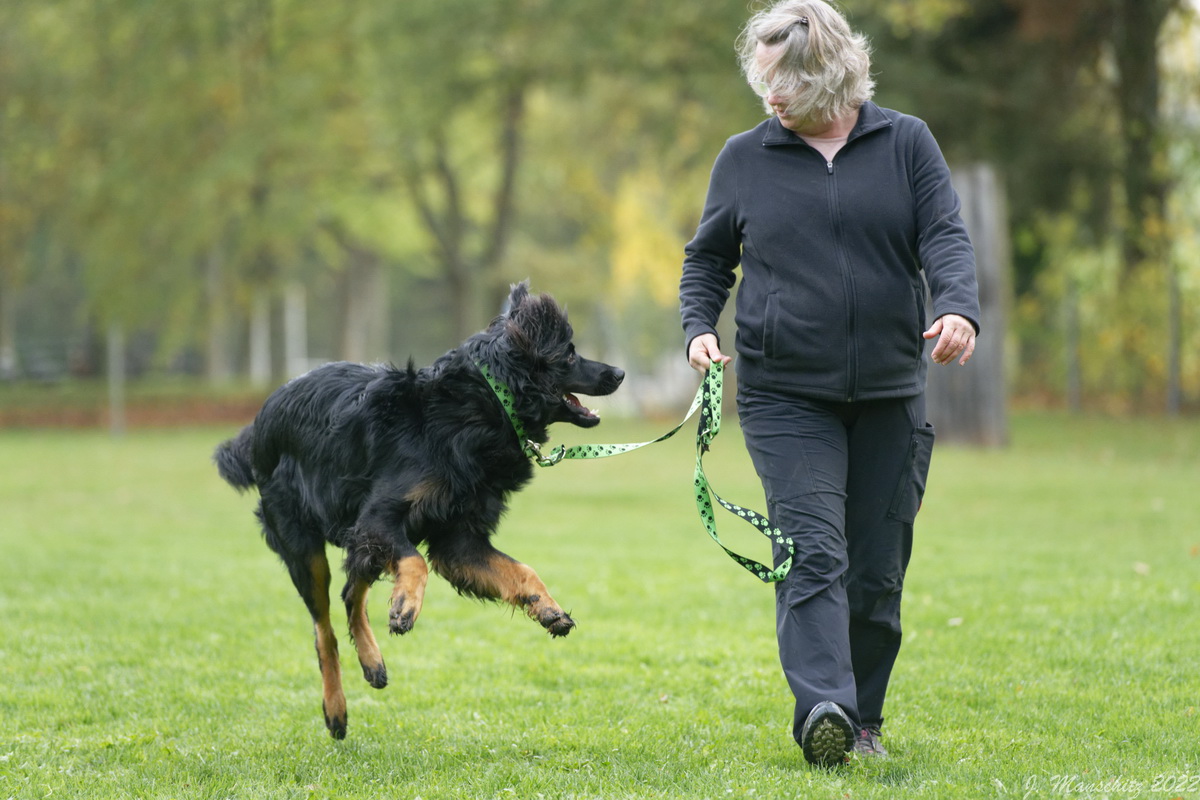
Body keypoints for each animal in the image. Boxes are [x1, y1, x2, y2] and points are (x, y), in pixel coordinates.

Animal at [216, 283, 624, 738]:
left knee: (350, 594)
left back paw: (372, 662)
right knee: (324, 628)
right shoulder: (378, 520)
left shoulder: (456, 540)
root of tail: (258, 425)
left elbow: (521, 570)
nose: (619, 374)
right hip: (307, 548)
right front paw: (406, 605)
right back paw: (336, 708)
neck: (478, 407)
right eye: (569, 354)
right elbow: (415, 562)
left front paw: (547, 607)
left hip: (357, 543)